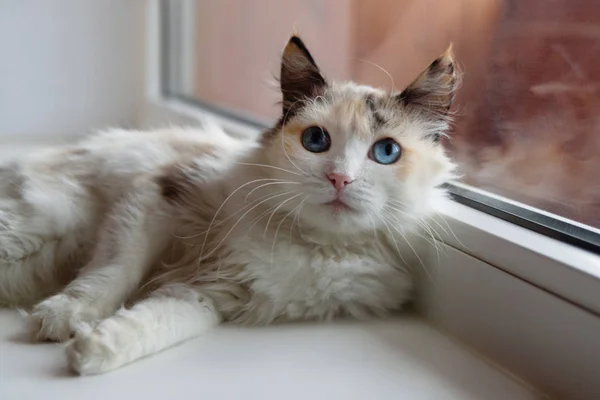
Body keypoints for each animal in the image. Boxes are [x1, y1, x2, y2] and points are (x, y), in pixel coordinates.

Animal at [0, 35, 454, 376]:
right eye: (316, 141)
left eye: (386, 152)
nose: (340, 178)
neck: (310, 242)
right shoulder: (158, 193)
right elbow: (113, 271)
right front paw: (64, 314)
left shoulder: (216, 295)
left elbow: (153, 325)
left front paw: (90, 350)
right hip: (41, 224)